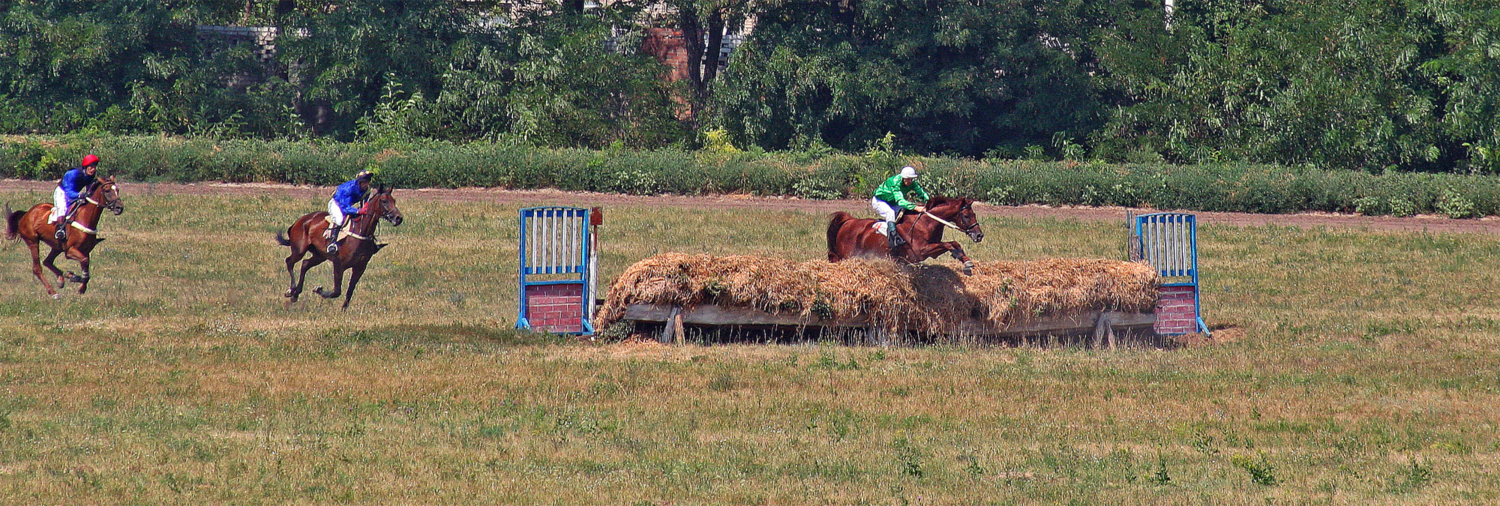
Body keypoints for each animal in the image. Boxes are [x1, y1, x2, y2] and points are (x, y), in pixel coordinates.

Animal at [274, 186, 405, 307]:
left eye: (394, 200)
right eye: (384, 201)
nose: (398, 218)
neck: (361, 230)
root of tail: (300, 220)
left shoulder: (360, 267)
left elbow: (350, 291)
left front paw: (343, 310)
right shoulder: (339, 264)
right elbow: (337, 291)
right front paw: (318, 290)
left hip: (320, 255)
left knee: (305, 264)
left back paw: (296, 294)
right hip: (299, 250)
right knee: (289, 261)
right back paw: (291, 290)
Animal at [822, 193, 984, 271]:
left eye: (974, 214)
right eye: (966, 216)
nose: (979, 235)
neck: (926, 222)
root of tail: (849, 221)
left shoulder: (930, 250)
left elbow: (954, 243)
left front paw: (965, 260)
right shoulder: (920, 251)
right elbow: (949, 244)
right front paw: (959, 256)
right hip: (846, 256)